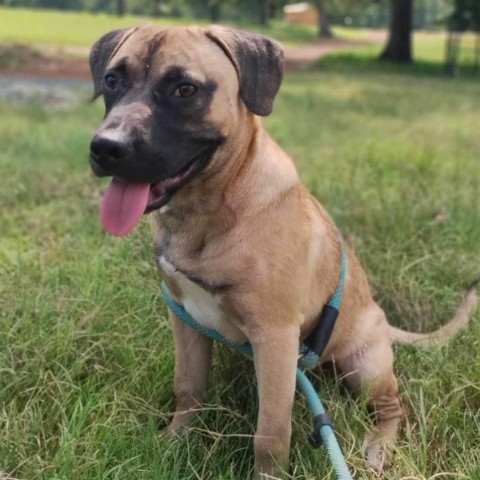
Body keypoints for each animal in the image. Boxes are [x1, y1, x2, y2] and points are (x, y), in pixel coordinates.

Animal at [88, 26, 478, 480]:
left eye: (185, 89)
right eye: (112, 80)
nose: (106, 148)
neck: (209, 212)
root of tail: (382, 319)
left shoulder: (274, 337)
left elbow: (271, 432)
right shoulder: (184, 319)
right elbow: (188, 387)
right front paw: (174, 441)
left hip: (365, 364)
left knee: (392, 405)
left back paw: (380, 445)